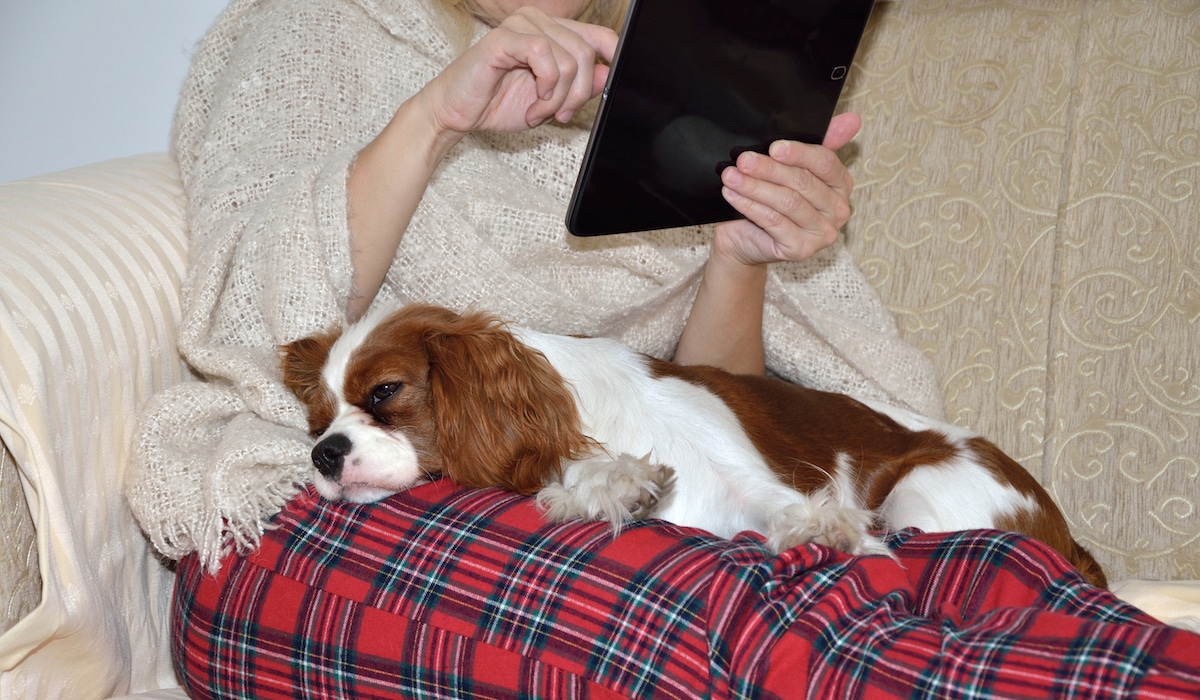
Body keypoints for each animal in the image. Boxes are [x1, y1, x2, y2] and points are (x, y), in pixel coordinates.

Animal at [280, 303, 1104, 588]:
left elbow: (794, 511)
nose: (324, 454)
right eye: (316, 421)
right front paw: (614, 487)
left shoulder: (750, 480)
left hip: (924, 494)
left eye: (384, 393)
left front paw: (830, 531)